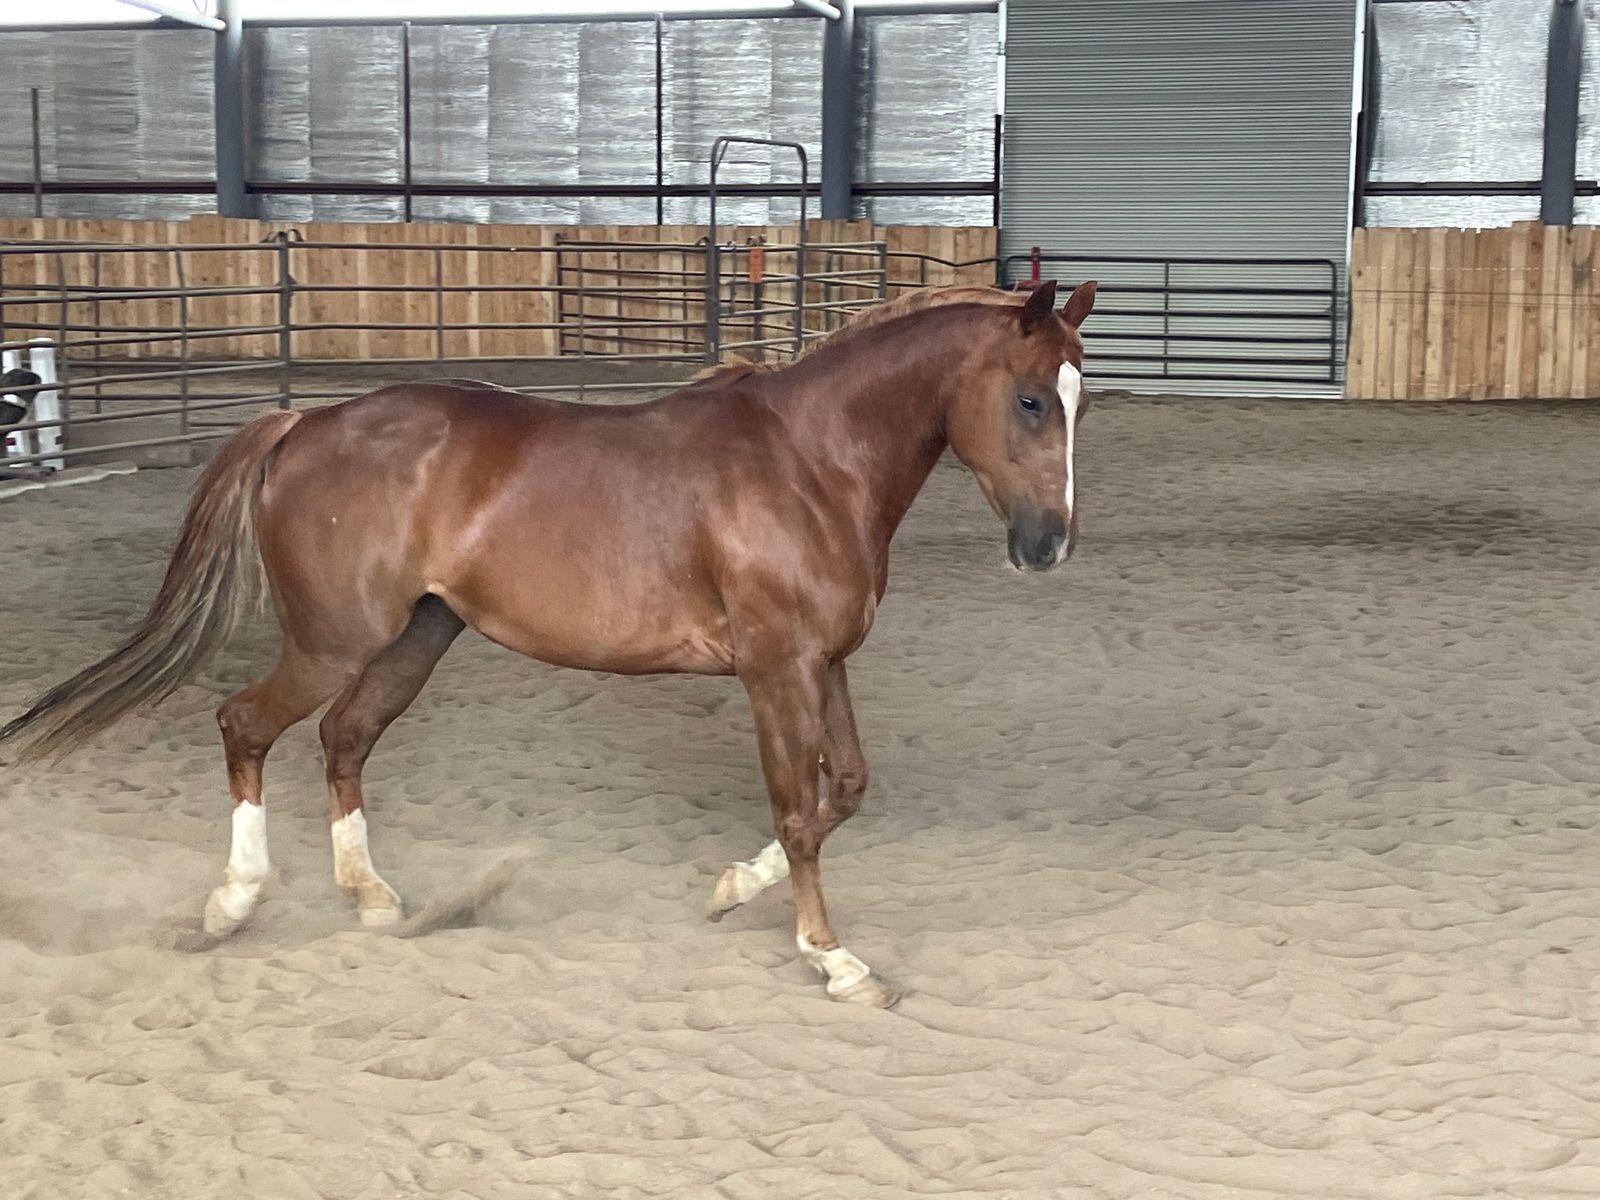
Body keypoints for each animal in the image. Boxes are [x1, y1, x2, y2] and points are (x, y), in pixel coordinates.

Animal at [0, 278, 1096, 1008]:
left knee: (343, 740)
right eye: (1031, 399)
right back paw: (230, 906)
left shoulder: (824, 663)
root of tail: (303, 421)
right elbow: (797, 811)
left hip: (415, 638)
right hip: (334, 641)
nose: (1047, 546)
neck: (809, 465)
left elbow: (845, 793)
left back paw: (376, 901)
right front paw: (833, 958)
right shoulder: (775, 668)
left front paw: (729, 891)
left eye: (1079, 396)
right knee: (245, 725)